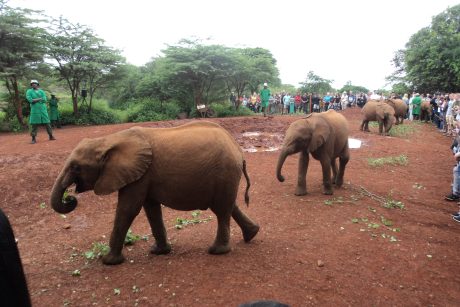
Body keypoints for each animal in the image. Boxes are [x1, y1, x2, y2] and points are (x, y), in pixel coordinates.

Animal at [51, 121, 258, 266]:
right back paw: (252, 234)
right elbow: (150, 209)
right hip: (225, 176)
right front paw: (159, 251)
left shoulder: (139, 175)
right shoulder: (142, 175)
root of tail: (238, 149)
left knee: (222, 210)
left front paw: (108, 261)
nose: (70, 198)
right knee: (229, 205)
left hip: (225, 172)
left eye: (76, 167)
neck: (108, 140)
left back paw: (217, 251)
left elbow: (128, 209)